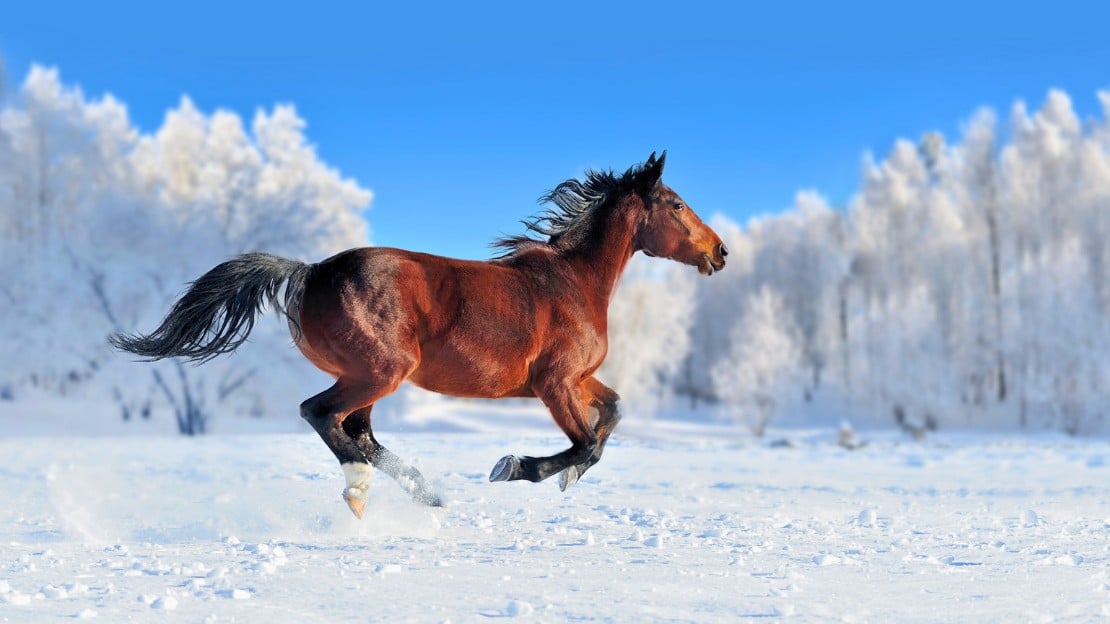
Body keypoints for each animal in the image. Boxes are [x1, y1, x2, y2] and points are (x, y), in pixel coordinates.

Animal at [111, 151, 727, 518]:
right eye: (676, 204)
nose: (720, 251)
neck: (573, 282)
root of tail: (311, 272)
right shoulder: (554, 383)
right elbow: (586, 444)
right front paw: (517, 468)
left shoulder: (578, 379)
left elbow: (612, 414)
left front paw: (562, 477)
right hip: (380, 372)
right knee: (323, 415)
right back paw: (366, 489)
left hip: (367, 376)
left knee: (356, 430)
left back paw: (423, 493)